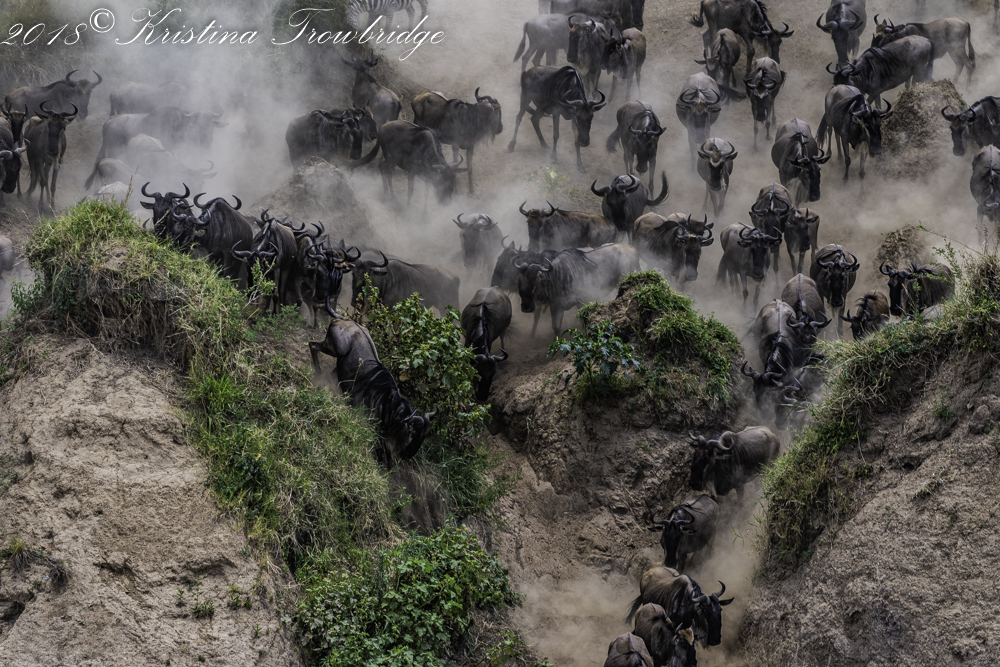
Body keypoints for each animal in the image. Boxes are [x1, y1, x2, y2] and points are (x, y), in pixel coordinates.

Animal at [309, 309, 434, 464]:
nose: (408, 455)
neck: (388, 403)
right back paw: (318, 371)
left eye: (424, 435)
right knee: (313, 345)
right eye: (412, 432)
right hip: (333, 348)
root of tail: (346, 320)